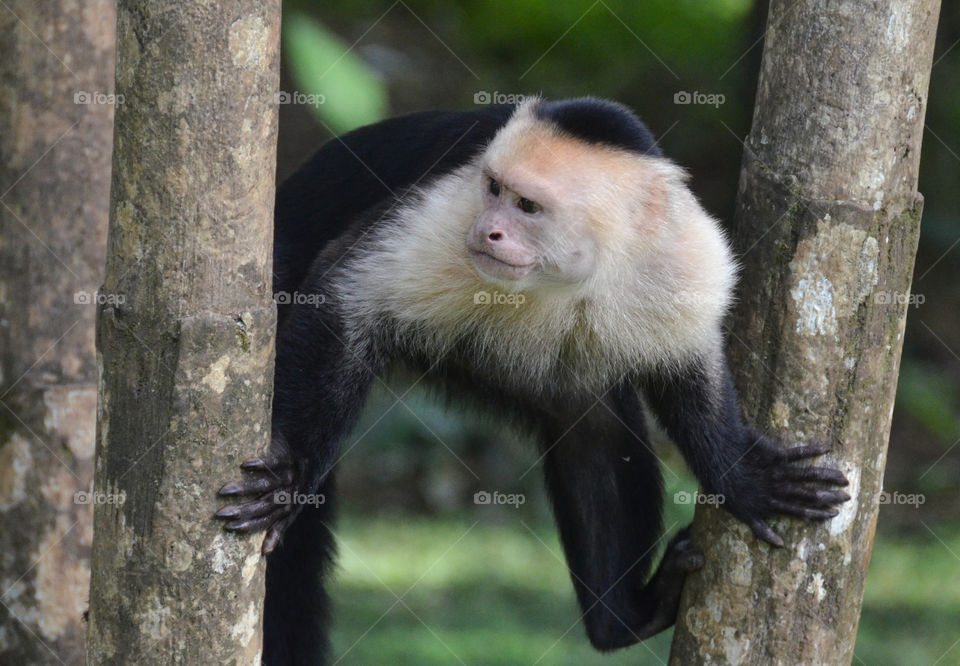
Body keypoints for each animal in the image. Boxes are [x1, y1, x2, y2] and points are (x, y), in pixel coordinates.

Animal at [215, 97, 850, 664]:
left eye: (527, 206)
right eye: (494, 189)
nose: (489, 232)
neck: (574, 270)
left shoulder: (684, 254)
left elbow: (689, 369)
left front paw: (741, 475)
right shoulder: (450, 212)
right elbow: (340, 304)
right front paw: (292, 473)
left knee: (591, 426)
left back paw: (624, 619)